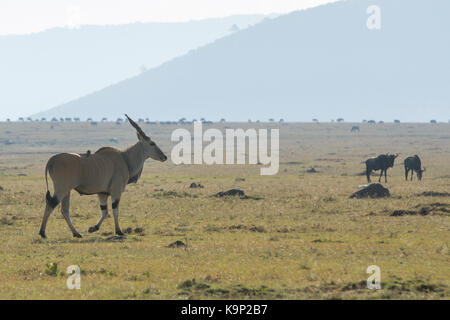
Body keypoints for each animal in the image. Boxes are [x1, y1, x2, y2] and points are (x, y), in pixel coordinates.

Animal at [39, 115, 167, 238]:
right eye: (152, 143)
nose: (164, 157)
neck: (125, 159)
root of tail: (52, 160)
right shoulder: (116, 191)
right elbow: (115, 210)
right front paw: (119, 231)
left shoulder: (102, 193)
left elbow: (104, 212)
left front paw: (93, 228)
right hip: (61, 189)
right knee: (51, 204)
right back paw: (43, 233)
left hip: (67, 191)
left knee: (64, 210)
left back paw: (76, 233)